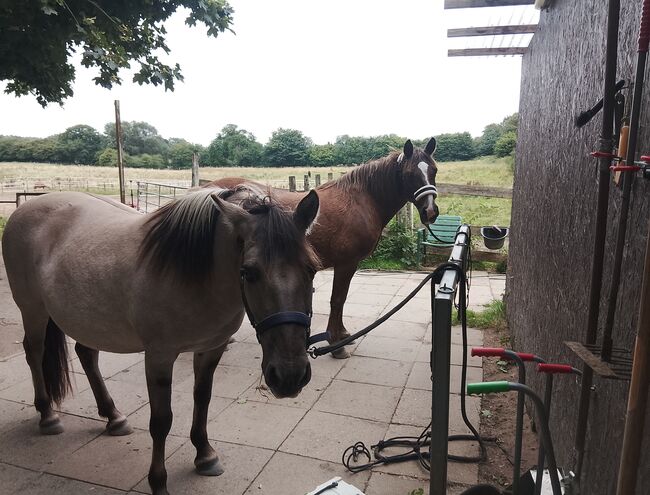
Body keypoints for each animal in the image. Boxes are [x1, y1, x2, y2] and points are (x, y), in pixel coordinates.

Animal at [210, 138, 438, 358]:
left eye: (434, 170)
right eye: (410, 174)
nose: (430, 211)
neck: (360, 200)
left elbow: (341, 300)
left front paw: (343, 335)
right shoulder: (346, 263)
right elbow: (337, 299)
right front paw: (336, 344)